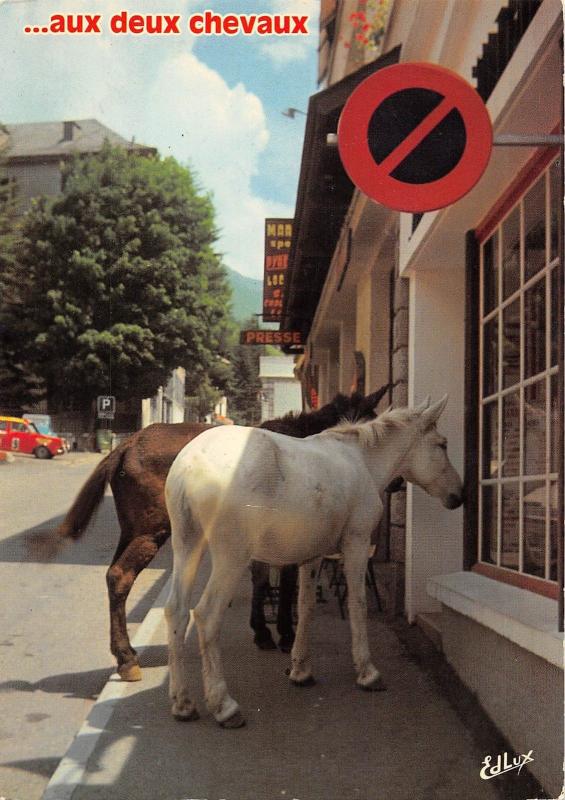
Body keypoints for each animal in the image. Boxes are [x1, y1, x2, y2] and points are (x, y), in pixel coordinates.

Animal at [59, 388, 390, 680]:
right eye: (374, 431)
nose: (395, 483)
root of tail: (125, 446)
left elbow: (261, 580)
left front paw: (262, 631)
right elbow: (284, 583)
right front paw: (284, 634)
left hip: (131, 529)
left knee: (113, 576)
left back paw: (123, 654)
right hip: (151, 531)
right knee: (120, 576)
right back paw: (127, 658)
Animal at [164, 396, 462, 728]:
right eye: (442, 444)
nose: (459, 495)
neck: (362, 460)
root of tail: (190, 465)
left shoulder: (312, 556)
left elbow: (305, 607)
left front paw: (300, 670)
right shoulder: (356, 543)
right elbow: (358, 604)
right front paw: (367, 672)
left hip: (187, 547)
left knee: (176, 611)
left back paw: (183, 703)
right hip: (231, 557)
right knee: (206, 615)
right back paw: (223, 705)